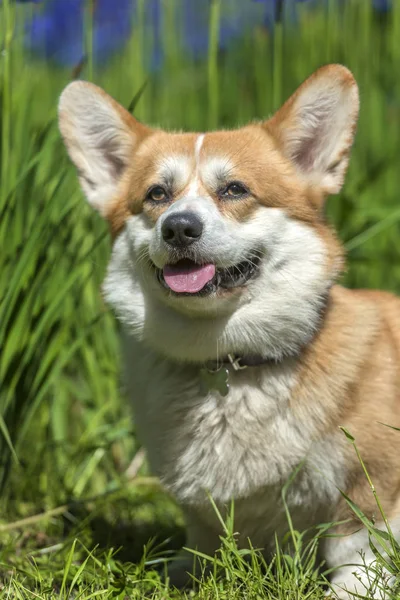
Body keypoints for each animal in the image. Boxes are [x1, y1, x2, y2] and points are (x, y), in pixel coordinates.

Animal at [58, 63, 400, 596]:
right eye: (157, 195)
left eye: (235, 189)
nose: (179, 227)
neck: (224, 362)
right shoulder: (201, 506)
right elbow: (204, 538)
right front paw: (185, 572)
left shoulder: (374, 482)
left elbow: (359, 546)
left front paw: (353, 588)